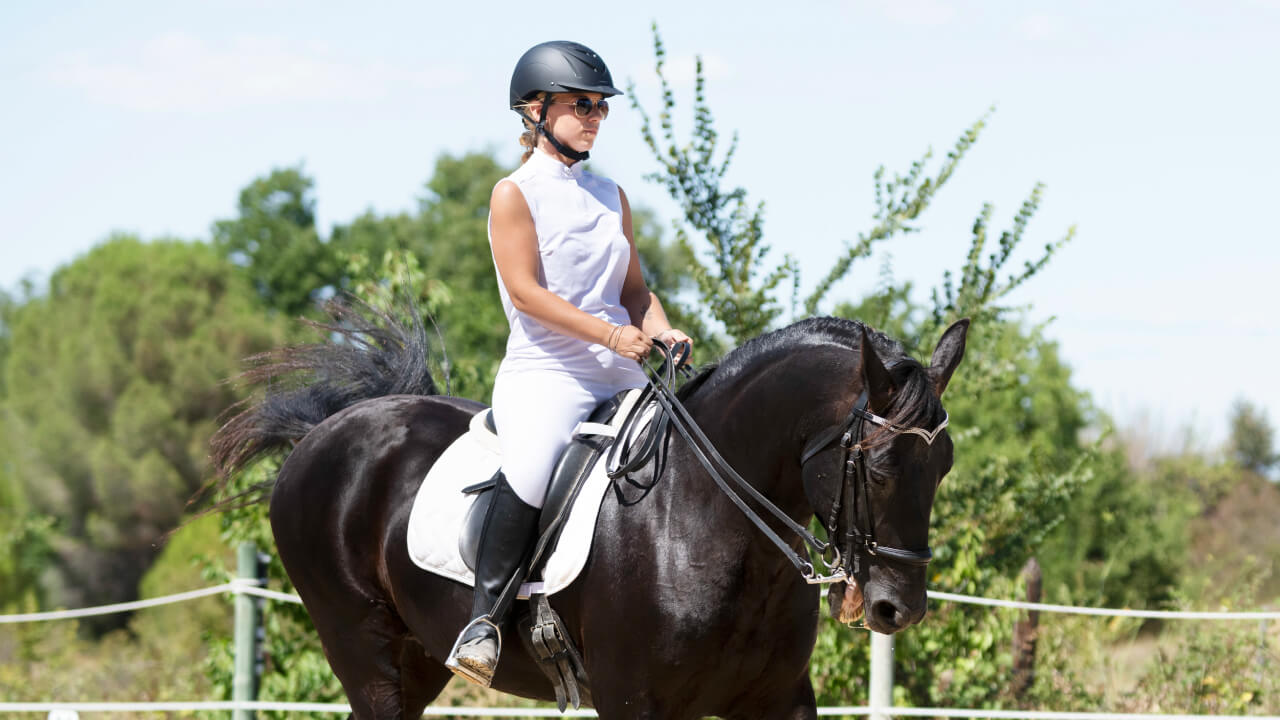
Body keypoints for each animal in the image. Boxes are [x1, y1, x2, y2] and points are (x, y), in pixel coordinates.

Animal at [210, 302, 968, 720]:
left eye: (945, 465)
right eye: (879, 467)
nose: (898, 609)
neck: (705, 523)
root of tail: (324, 432)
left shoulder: (777, 699)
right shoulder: (635, 702)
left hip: (417, 660)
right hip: (364, 651)